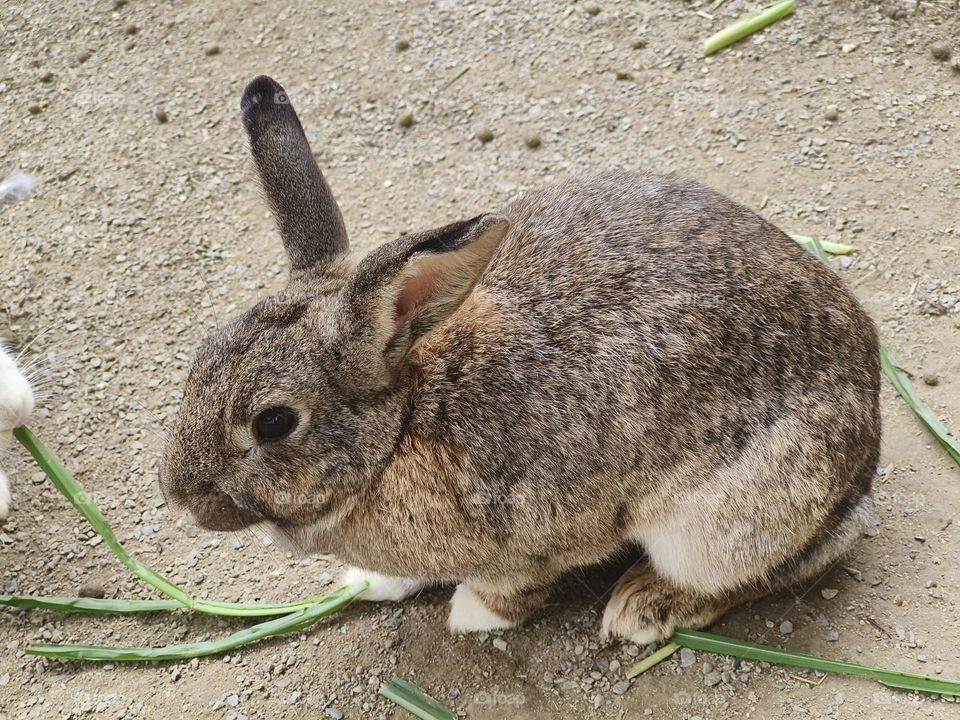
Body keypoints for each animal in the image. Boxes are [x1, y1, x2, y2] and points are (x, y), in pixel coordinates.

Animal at [160, 75, 880, 643]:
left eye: (274, 422)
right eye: (199, 361)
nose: (179, 495)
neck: (399, 429)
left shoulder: (528, 543)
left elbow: (510, 590)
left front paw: (470, 616)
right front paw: (369, 581)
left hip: (719, 524)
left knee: (777, 566)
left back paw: (644, 607)